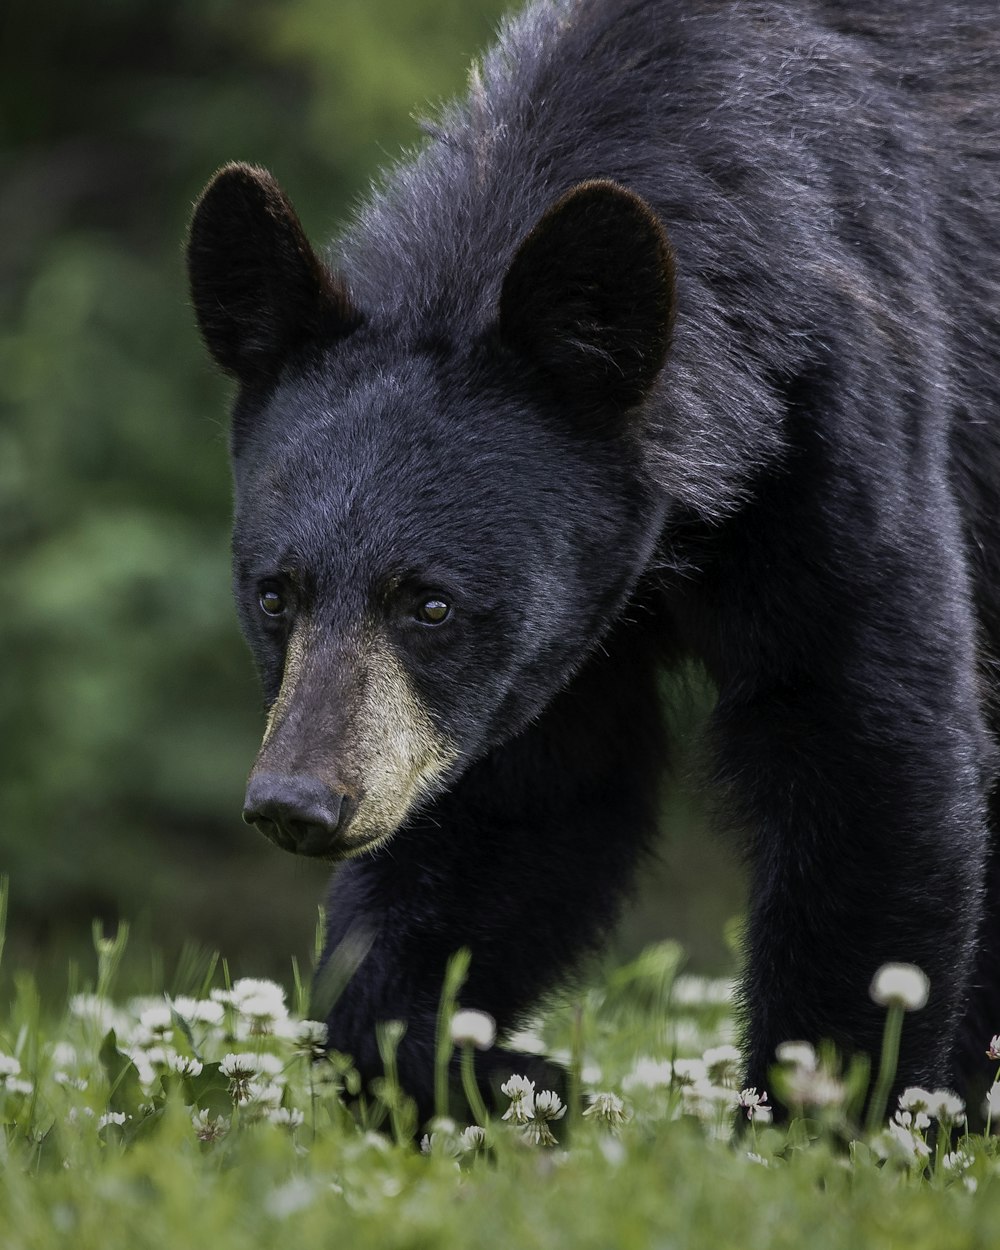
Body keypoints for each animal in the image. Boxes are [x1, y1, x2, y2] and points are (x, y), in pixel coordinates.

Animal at [185, 0, 1000, 1120]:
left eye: (430, 603)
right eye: (275, 594)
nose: (299, 805)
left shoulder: (844, 413)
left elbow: (868, 738)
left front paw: (823, 1119)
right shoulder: (546, 643)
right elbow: (524, 805)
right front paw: (500, 1075)